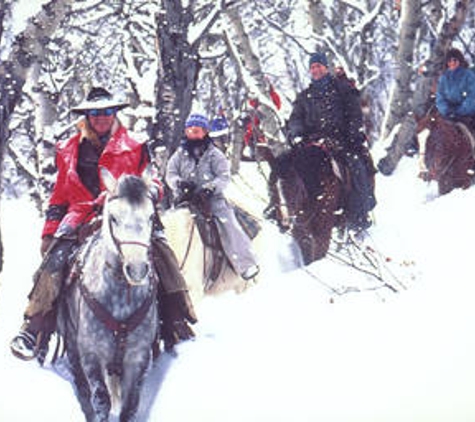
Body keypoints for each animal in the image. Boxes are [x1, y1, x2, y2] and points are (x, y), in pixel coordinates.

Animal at [58, 168, 160, 422]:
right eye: (113, 218)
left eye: (151, 217)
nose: (137, 269)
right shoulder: (91, 355)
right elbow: (101, 400)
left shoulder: (138, 360)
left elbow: (130, 407)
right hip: (72, 345)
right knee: (83, 390)